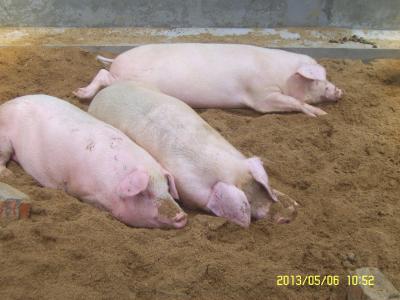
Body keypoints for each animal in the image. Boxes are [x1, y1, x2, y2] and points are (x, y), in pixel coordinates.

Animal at [0, 95, 187, 229]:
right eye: (144, 193)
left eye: (167, 188)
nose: (182, 216)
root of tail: (7, 104)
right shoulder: (84, 191)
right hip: (4, 139)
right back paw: (8, 175)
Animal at [73, 42, 342, 116]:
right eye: (316, 79)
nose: (340, 91)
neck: (283, 76)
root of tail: (117, 60)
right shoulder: (261, 96)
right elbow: (292, 102)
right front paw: (320, 115)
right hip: (128, 81)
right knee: (103, 76)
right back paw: (80, 94)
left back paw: (78, 93)